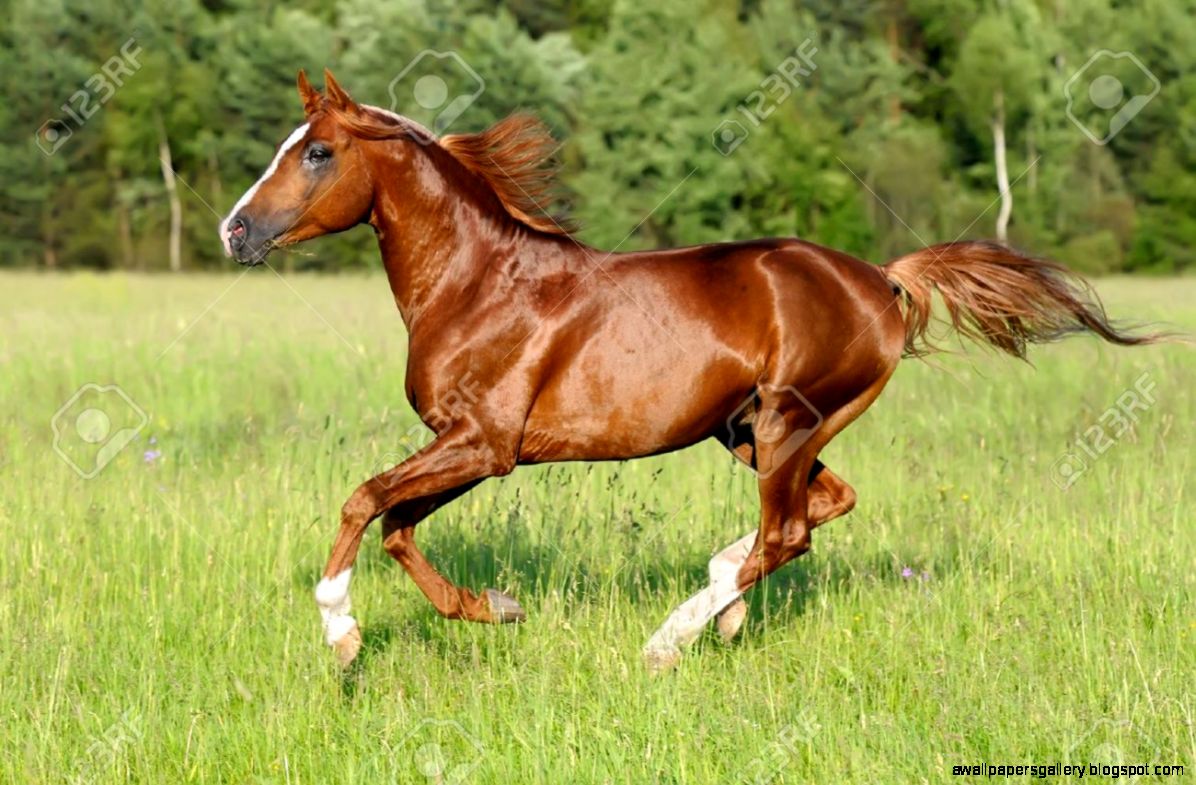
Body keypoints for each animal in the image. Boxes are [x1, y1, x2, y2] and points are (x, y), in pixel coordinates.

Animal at [219, 69, 1167, 670]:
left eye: (316, 152)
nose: (235, 231)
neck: (478, 282)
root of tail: (883, 278)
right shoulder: (473, 448)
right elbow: (397, 526)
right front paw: (498, 609)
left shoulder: (483, 442)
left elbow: (363, 500)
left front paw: (342, 635)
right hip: (753, 429)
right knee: (822, 509)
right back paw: (724, 606)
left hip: (786, 420)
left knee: (791, 530)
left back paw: (669, 640)